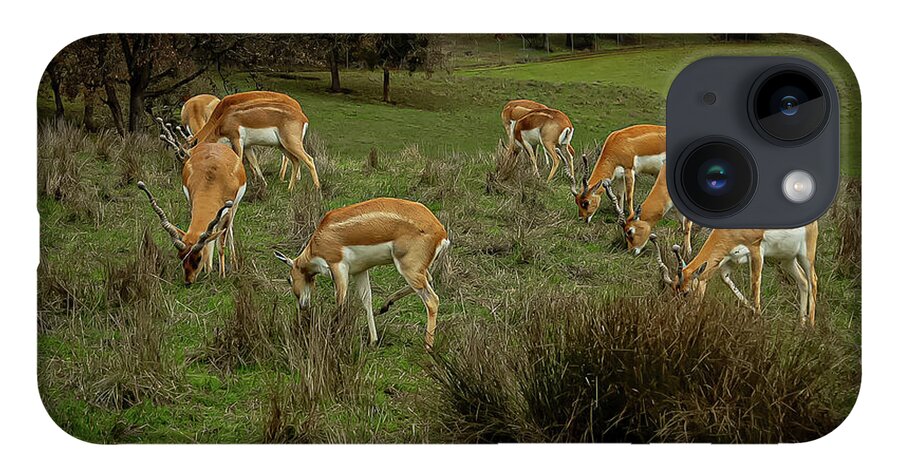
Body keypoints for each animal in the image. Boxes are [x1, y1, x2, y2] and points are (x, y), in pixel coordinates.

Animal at [137, 142, 247, 286]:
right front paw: (208, 270)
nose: (188, 281)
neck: (212, 180)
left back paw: (234, 263)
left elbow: (221, 245)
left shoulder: (228, 211)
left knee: (228, 231)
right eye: (181, 257)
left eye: (198, 258)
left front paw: (221, 276)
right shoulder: (192, 203)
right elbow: (209, 240)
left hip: (234, 207)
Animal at [160, 91, 320, 191]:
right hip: (282, 145)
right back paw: (290, 187)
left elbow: (239, 161)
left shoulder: (237, 140)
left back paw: (316, 189)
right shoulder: (248, 146)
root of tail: (302, 116)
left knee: (308, 159)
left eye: (187, 159)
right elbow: (254, 163)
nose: (185, 177)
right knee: (295, 160)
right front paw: (263, 184)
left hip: (290, 143)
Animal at [273, 197, 450, 350]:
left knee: (432, 300)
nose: (303, 305)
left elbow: (341, 302)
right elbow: (366, 301)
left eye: (288, 279)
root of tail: (441, 232)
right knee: (428, 280)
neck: (319, 239)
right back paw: (385, 306)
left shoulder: (338, 267)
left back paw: (427, 346)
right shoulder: (360, 271)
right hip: (416, 269)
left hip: (408, 268)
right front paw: (373, 341)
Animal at [649, 222, 819, 325]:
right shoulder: (729, 261)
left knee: (813, 280)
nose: (680, 315)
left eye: (686, 292)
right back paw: (801, 324)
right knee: (803, 281)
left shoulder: (756, 252)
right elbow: (727, 281)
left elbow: (755, 284)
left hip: (806, 255)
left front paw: (757, 318)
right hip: (786, 259)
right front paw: (752, 311)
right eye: (673, 292)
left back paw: (810, 326)